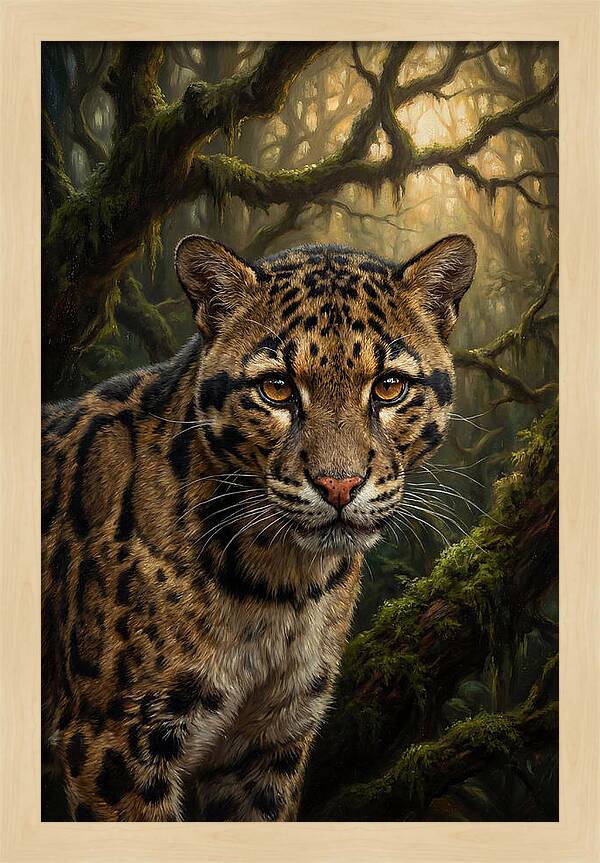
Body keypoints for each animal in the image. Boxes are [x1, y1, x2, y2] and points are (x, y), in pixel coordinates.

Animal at [42, 232, 476, 821]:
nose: (339, 485)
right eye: (276, 388)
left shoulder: (270, 742)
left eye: (389, 387)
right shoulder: (114, 741)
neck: (281, 585)